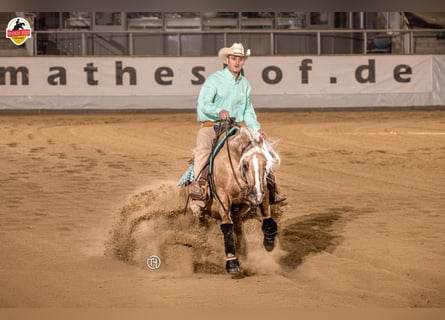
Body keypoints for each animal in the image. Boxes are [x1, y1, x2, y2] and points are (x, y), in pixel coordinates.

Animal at [182, 122, 280, 276]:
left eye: (266, 164)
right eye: (245, 165)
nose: (256, 194)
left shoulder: (262, 194)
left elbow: (268, 222)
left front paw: (269, 243)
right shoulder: (223, 198)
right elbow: (227, 228)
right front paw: (232, 263)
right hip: (198, 210)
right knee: (202, 225)